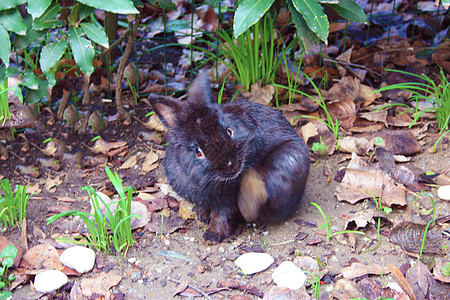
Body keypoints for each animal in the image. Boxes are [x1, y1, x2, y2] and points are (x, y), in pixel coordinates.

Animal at [148, 71, 310, 243]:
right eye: (198, 151)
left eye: (229, 131)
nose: (232, 165)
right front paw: (202, 216)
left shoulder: (225, 201)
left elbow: (222, 216)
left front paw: (212, 235)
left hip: (289, 158)